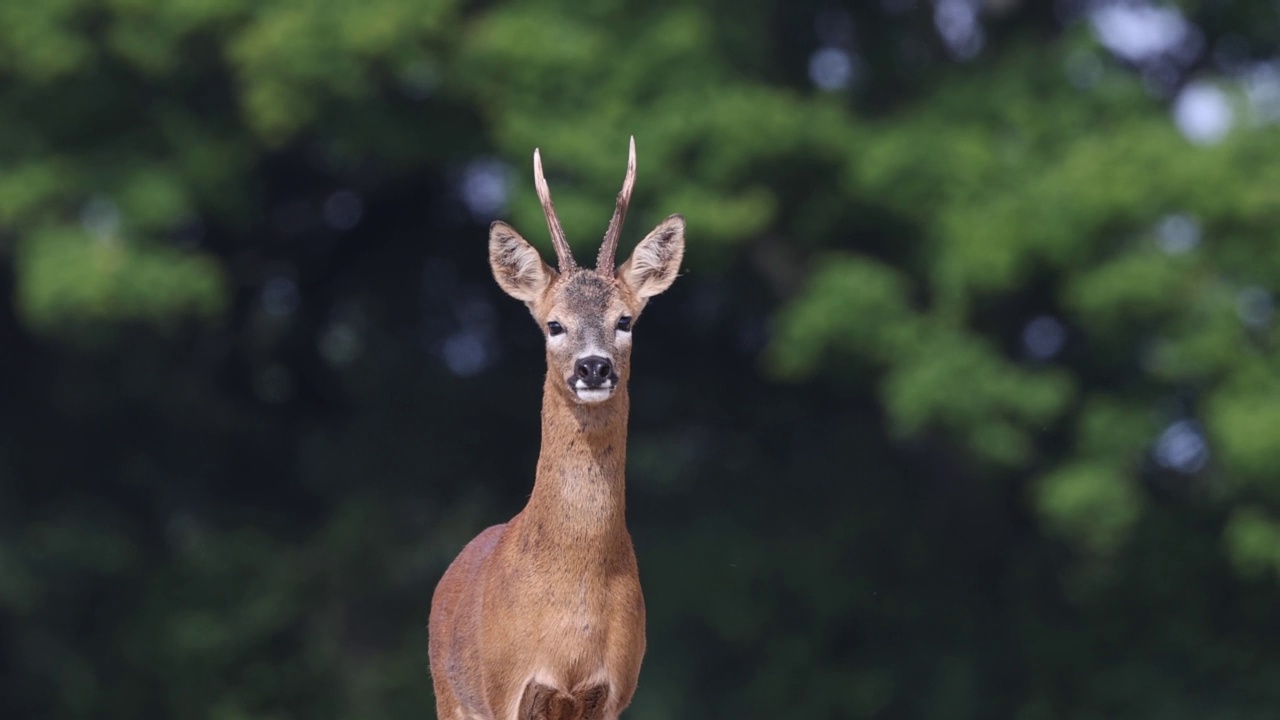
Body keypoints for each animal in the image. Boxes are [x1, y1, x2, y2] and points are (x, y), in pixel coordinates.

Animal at [430, 139, 686, 717]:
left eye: (624, 320)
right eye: (553, 325)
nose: (593, 367)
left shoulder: (616, 688)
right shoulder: (506, 686)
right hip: (449, 694)